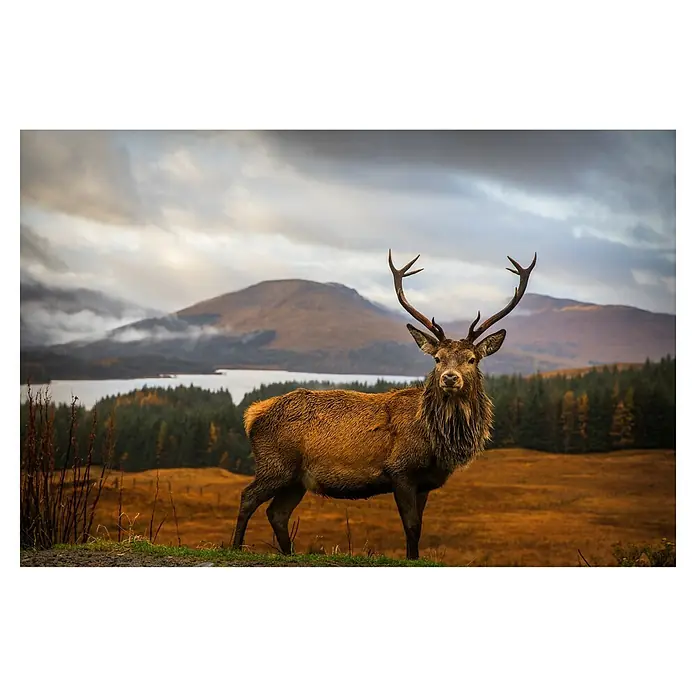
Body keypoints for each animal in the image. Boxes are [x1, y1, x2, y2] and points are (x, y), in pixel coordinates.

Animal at [232, 249, 537, 560]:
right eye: (437, 358)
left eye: (472, 359)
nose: (450, 378)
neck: (437, 442)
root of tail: (253, 414)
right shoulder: (400, 470)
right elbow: (411, 526)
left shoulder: (425, 482)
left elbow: (419, 527)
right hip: (275, 464)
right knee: (247, 497)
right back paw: (235, 546)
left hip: (296, 479)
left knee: (277, 513)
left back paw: (288, 553)